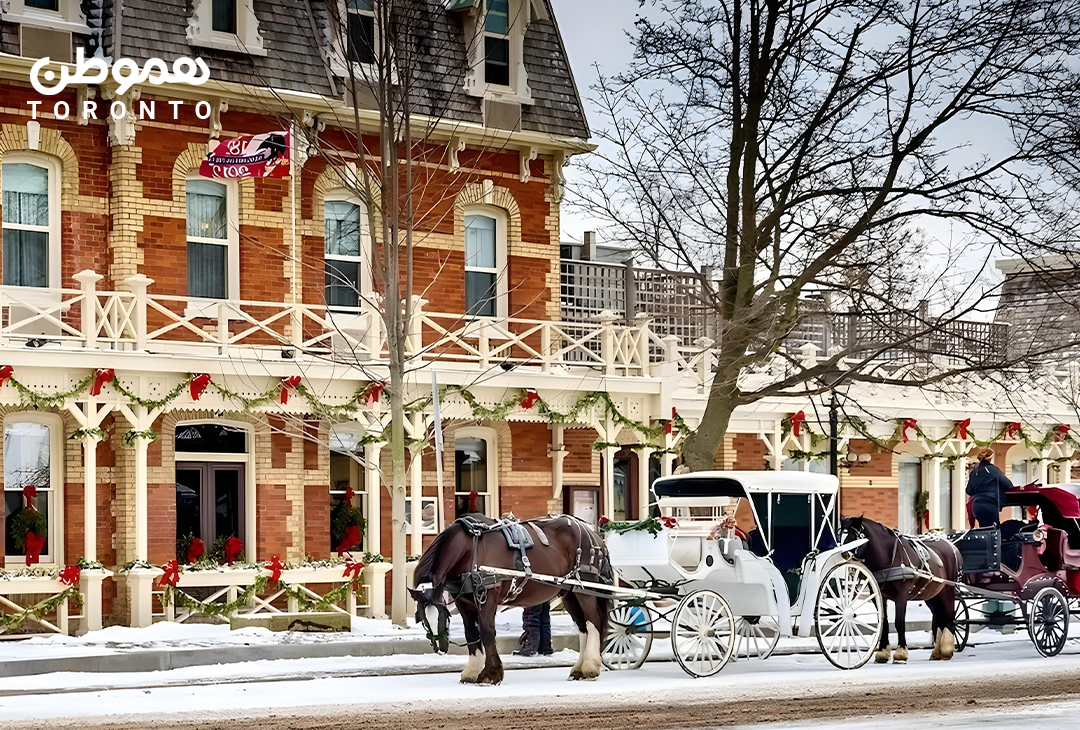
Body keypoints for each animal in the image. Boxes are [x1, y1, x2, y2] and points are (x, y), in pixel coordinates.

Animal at [412, 514, 613, 682]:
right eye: (424, 620)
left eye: (443, 615)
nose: (440, 648)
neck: (469, 548)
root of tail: (591, 532)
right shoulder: (463, 601)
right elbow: (471, 633)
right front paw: (472, 671)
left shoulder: (488, 595)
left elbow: (487, 631)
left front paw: (491, 673)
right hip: (570, 593)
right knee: (582, 626)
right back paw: (579, 668)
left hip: (586, 587)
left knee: (593, 620)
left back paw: (590, 666)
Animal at [842, 518, 963, 660]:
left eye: (855, 536)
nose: (844, 554)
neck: (889, 556)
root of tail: (952, 547)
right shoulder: (879, 596)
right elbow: (884, 622)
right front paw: (883, 651)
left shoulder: (902, 595)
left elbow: (899, 622)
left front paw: (901, 652)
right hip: (932, 595)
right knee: (940, 617)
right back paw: (937, 651)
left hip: (947, 590)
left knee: (949, 616)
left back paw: (946, 650)